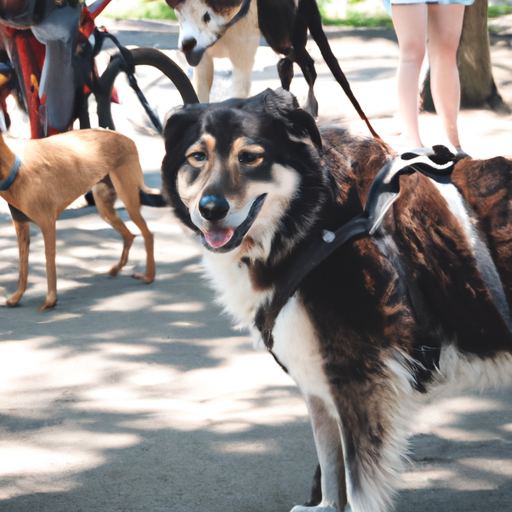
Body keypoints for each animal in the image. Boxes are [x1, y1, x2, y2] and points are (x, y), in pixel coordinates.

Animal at [0, 130, 156, 310]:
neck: (14, 166)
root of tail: (125, 137)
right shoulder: (21, 225)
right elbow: (22, 268)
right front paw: (17, 296)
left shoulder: (47, 223)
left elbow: (49, 261)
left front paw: (50, 300)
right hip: (105, 208)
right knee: (129, 235)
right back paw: (117, 268)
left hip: (129, 201)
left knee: (148, 234)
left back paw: (150, 276)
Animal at [162, 89, 512, 512]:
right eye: (197, 157)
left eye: (250, 157)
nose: (211, 209)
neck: (315, 220)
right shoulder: (319, 380)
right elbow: (331, 463)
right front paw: (325, 505)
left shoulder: (359, 380)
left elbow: (357, 484)